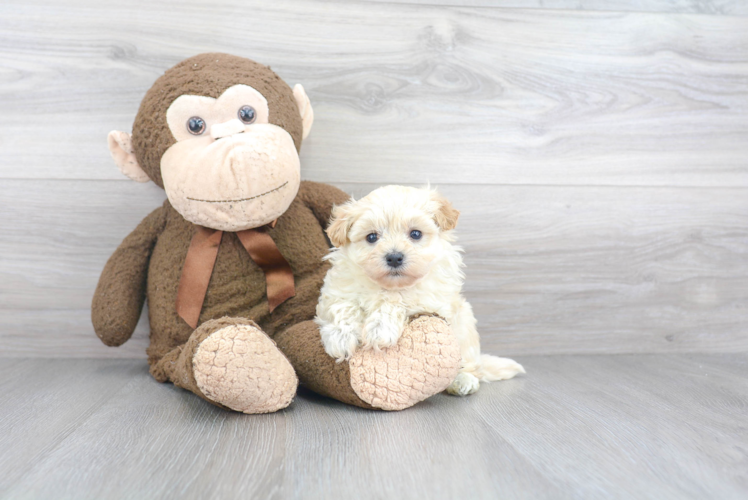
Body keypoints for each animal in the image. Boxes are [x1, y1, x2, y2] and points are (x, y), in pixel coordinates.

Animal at [318, 186, 524, 396]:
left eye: (415, 234)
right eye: (372, 237)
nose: (394, 257)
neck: (388, 285)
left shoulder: (432, 299)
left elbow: (397, 300)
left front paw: (380, 329)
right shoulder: (335, 292)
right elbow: (343, 306)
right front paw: (341, 336)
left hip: (465, 329)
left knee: (468, 365)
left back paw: (463, 380)